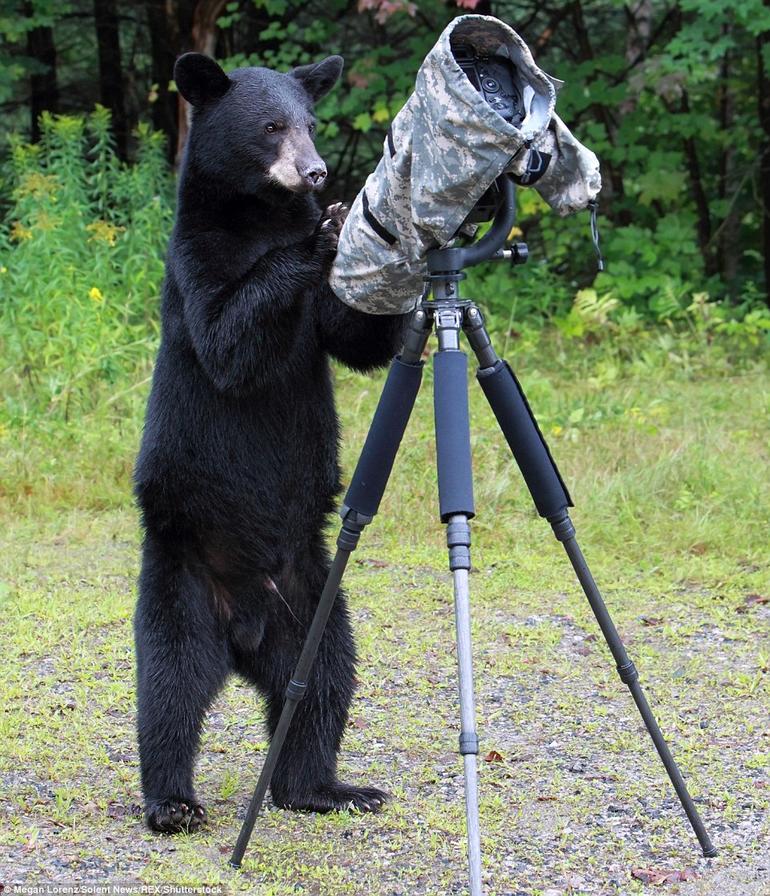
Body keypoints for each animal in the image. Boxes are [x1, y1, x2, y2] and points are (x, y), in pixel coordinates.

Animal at [133, 50, 404, 832]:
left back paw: (326, 787)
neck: (258, 213)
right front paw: (324, 231)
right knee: (169, 689)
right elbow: (230, 341)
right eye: (271, 127)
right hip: (182, 582)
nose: (316, 173)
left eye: (311, 121)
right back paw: (172, 802)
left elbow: (352, 337)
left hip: (314, 601)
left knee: (326, 684)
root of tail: (245, 633)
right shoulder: (195, 261)